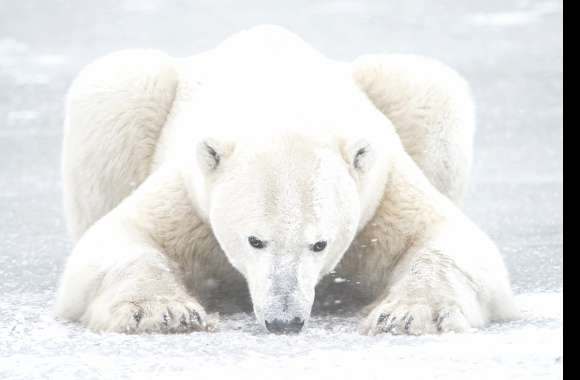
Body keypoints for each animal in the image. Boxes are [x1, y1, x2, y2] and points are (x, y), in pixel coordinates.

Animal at [54, 26, 516, 336]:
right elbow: (117, 238)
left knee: (428, 87)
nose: (284, 320)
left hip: (409, 93)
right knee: (117, 92)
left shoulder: (379, 191)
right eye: (255, 240)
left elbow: (449, 240)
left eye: (320, 244)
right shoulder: (192, 191)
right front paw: (162, 313)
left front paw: (409, 314)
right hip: (127, 97)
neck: (287, 110)